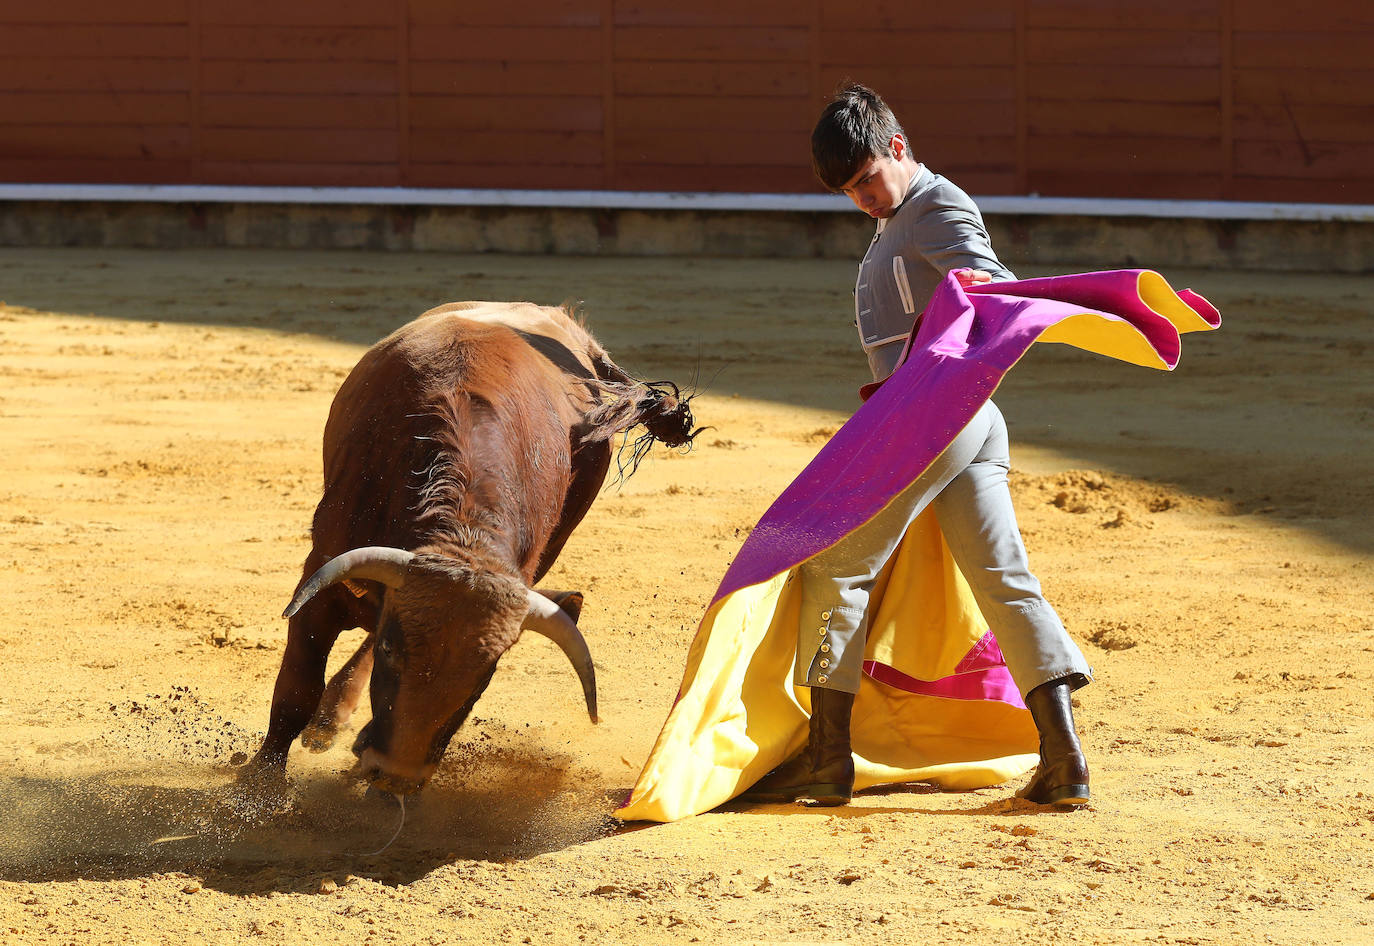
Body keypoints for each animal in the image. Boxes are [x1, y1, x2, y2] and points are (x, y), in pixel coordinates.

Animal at [241, 299, 697, 790]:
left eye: (484, 678)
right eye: (391, 651)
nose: (395, 774)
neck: (465, 532)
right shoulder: (322, 577)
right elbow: (295, 690)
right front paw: (257, 787)